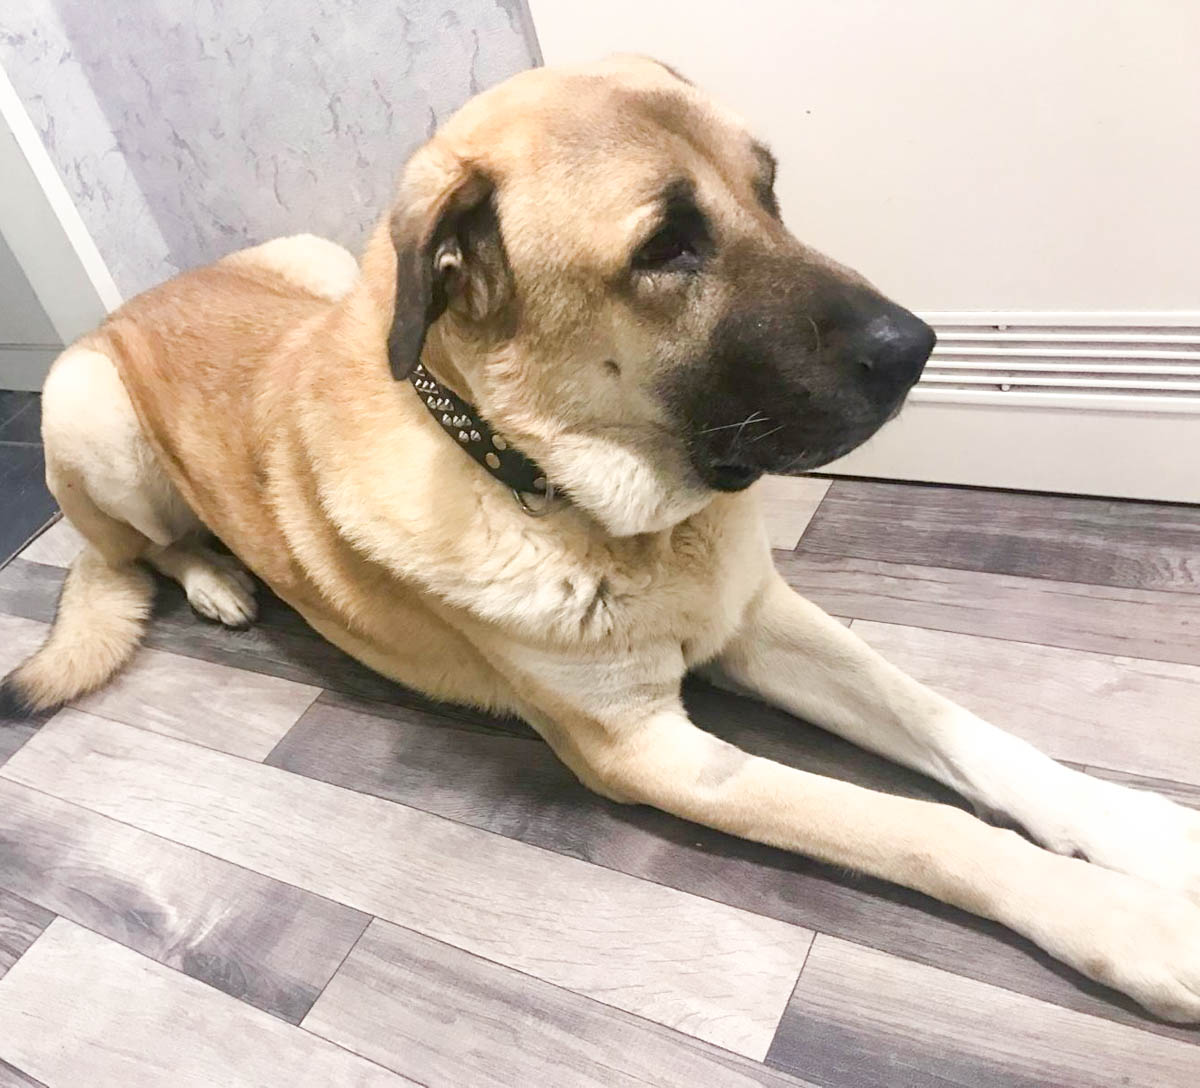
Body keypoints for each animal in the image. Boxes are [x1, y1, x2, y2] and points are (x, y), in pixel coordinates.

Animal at [8, 56, 1200, 1022]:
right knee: (132, 550)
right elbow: (919, 828)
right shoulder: (654, 751)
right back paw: (215, 577)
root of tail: (133, 302)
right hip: (84, 408)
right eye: (666, 246)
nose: (919, 348)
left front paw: (1146, 834)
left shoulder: (757, 617)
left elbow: (957, 726)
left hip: (326, 268)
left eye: (769, 190)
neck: (585, 504)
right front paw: (1132, 924)